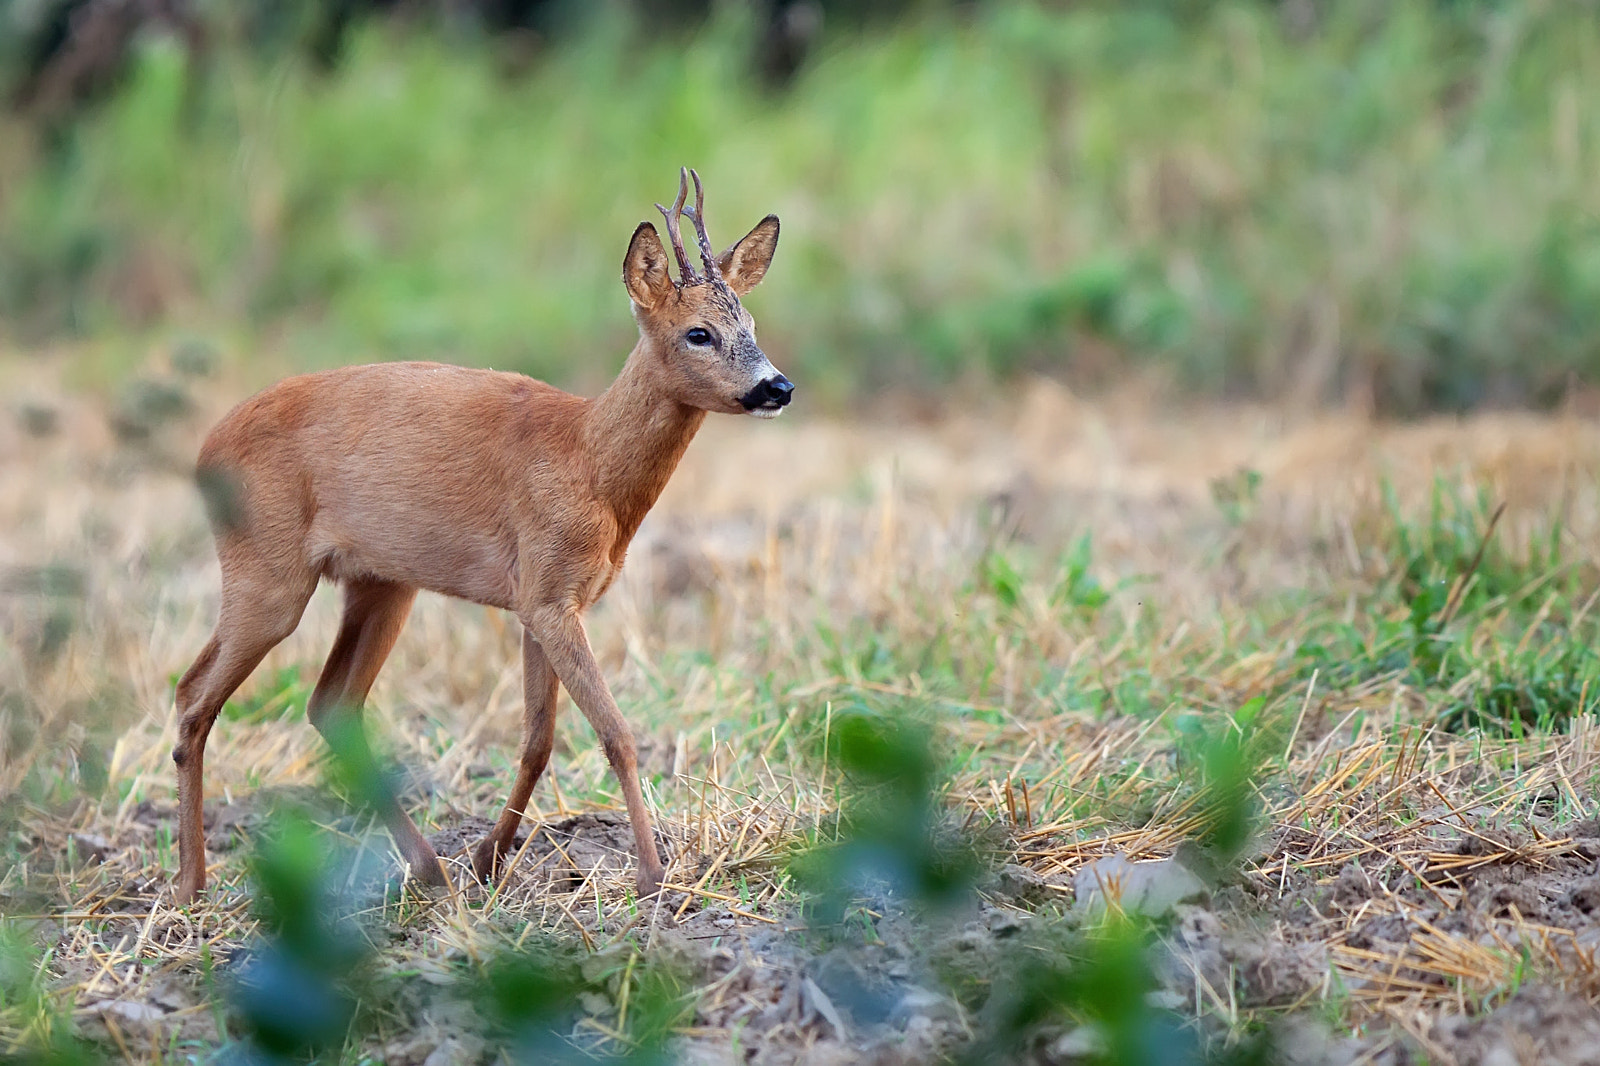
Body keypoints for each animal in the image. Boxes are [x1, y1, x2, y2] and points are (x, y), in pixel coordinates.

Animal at [172, 170, 790, 902]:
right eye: (698, 332)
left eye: (750, 324)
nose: (777, 387)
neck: (588, 462)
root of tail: (204, 453)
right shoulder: (548, 591)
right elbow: (616, 733)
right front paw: (650, 875)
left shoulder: (541, 601)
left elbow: (537, 740)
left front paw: (490, 858)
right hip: (266, 571)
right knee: (193, 696)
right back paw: (190, 882)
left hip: (381, 584)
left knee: (330, 704)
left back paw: (427, 867)